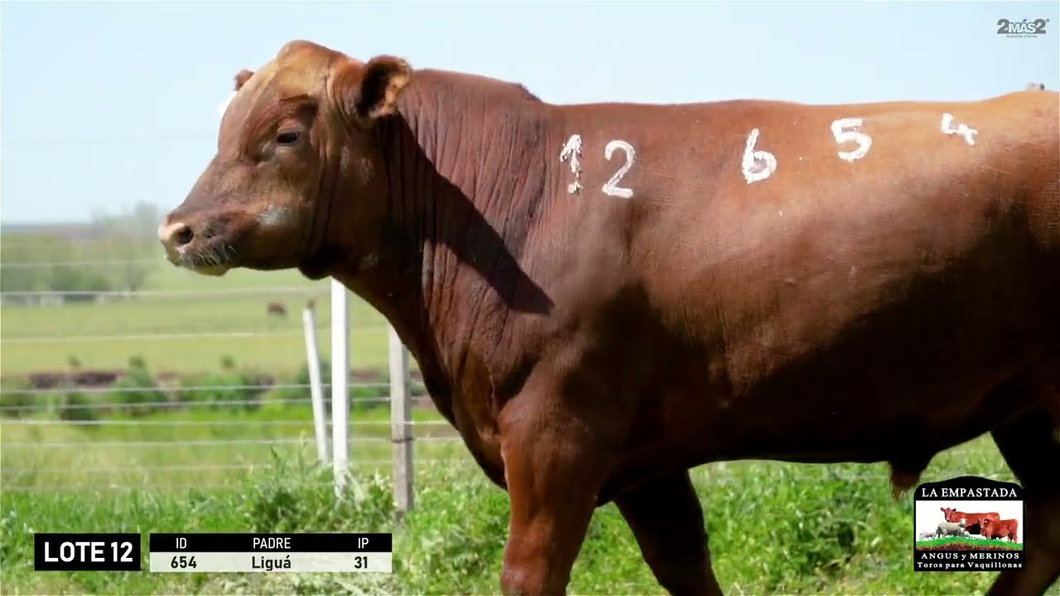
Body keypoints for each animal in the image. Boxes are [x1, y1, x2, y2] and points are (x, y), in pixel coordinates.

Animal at [156, 40, 1060, 593]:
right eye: (226, 128)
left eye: (286, 133)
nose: (178, 229)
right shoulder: (649, 459)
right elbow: (684, 564)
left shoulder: (556, 432)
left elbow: (531, 572)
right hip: (1026, 408)